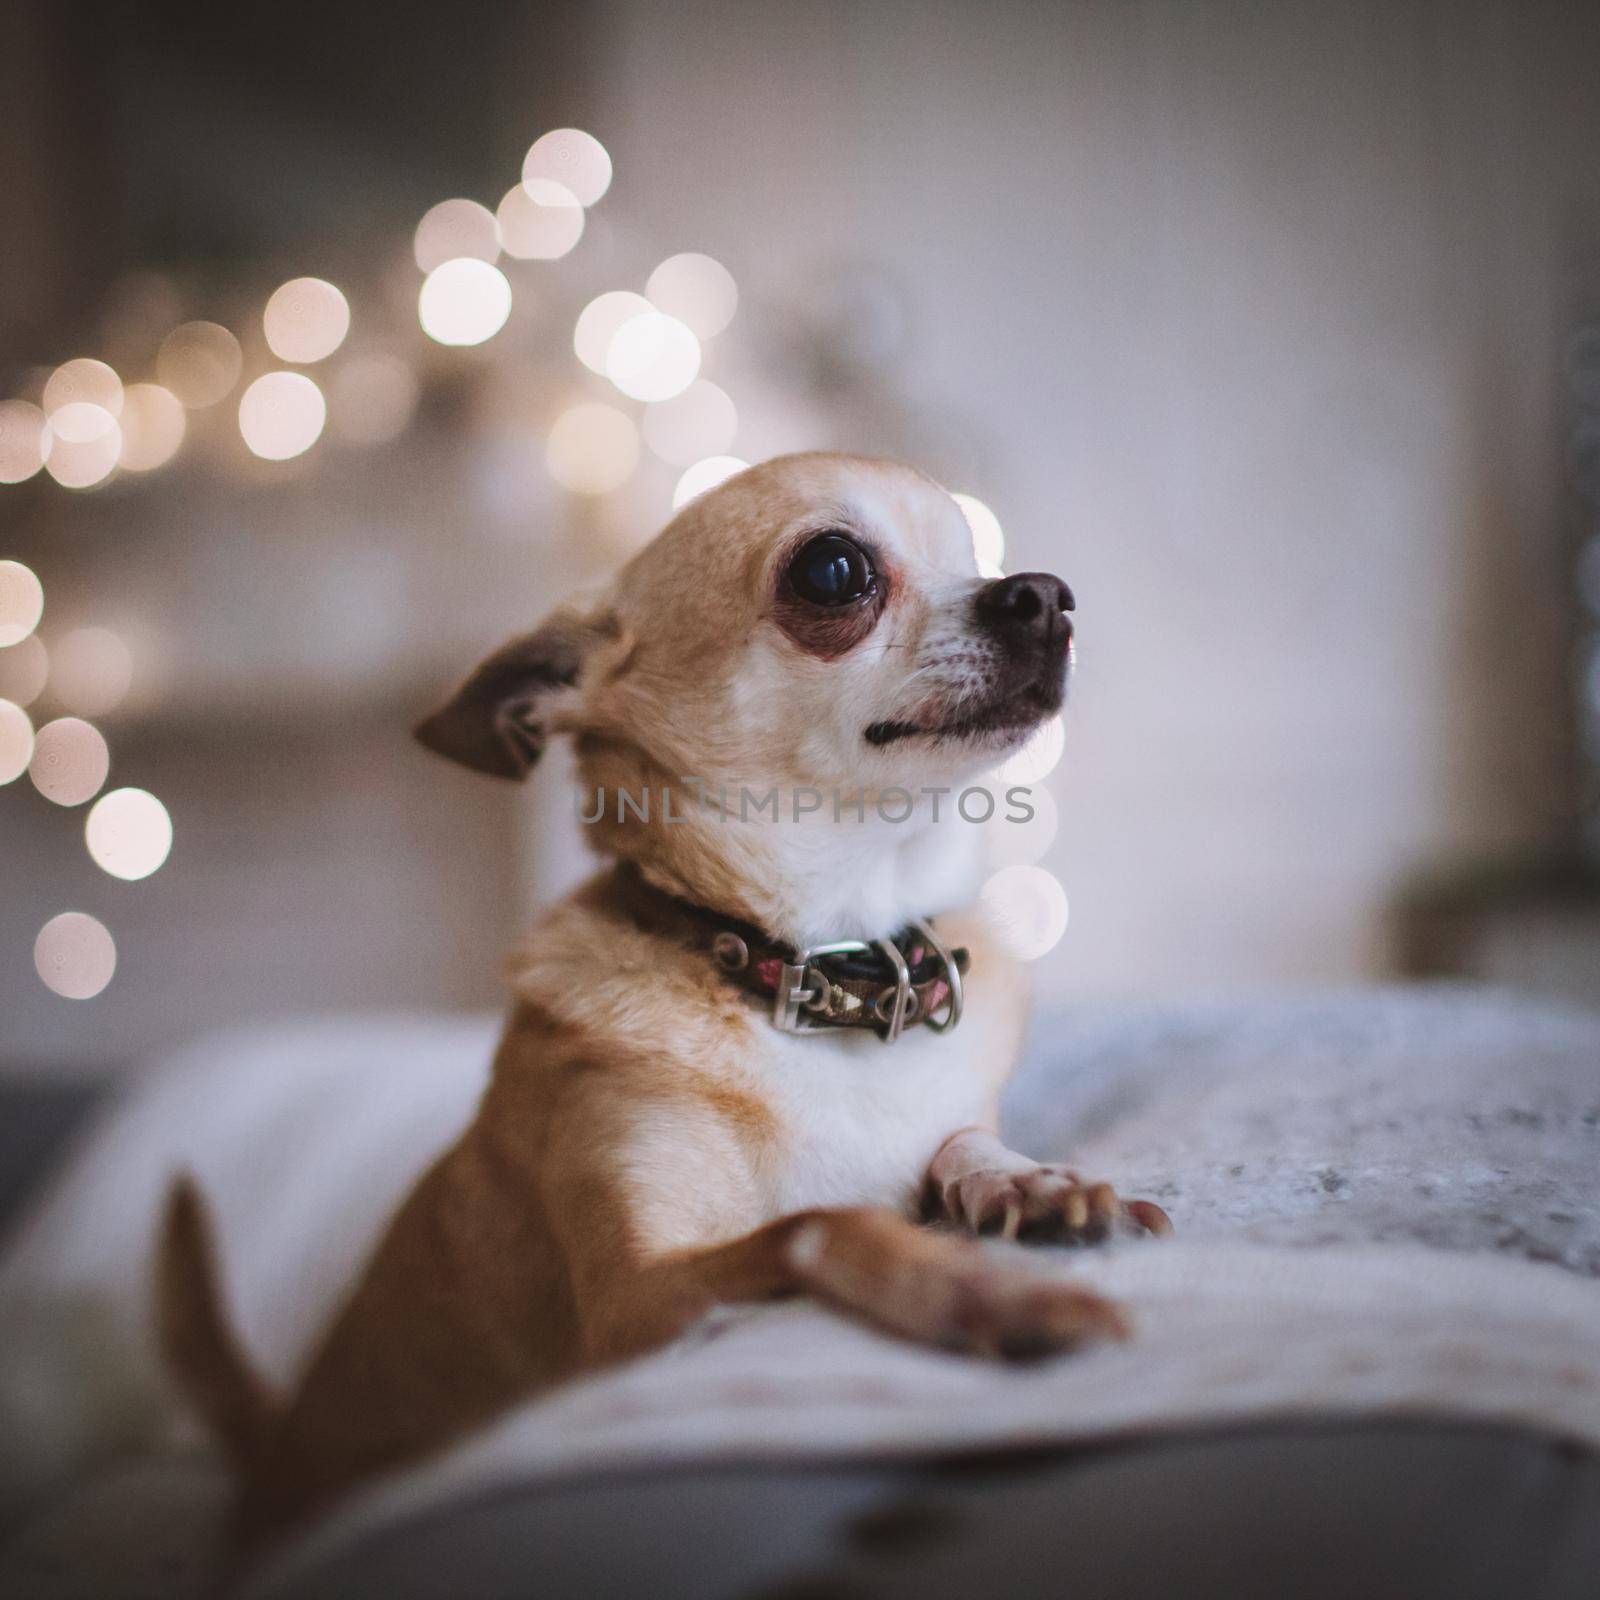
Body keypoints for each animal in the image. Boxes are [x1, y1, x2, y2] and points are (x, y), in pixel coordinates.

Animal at [159, 454, 1164, 1561]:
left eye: (977, 551)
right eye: (834, 570)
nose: (1044, 593)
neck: (826, 969)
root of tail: (277, 1448)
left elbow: (956, 1144)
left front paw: (1028, 1182)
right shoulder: (631, 1311)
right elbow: (821, 1225)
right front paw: (980, 1291)